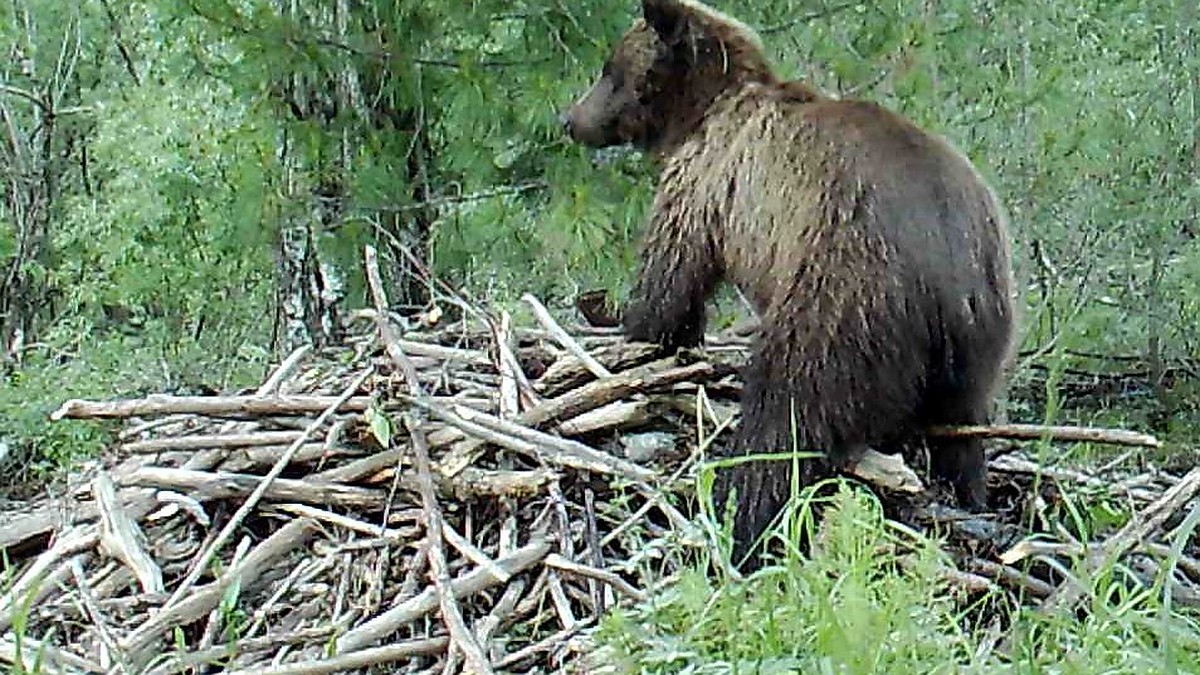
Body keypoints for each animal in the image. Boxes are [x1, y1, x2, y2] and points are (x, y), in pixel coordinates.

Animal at [559, 0, 1012, 564]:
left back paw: (741, 516)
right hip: (980, 335)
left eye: (610, 69)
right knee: (961, 432)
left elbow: (672, 280)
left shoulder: (706, 183)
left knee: (788, 407)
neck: (698, 112)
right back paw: (968, 494)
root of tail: (948, 276)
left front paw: (634, 331)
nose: (570, 119)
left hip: (844, 290)